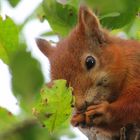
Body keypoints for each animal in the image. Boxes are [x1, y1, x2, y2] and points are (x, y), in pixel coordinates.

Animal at [35, 5, 140, 139]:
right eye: (64, 86)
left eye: (90, 62)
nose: (80, 105)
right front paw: (78, 118)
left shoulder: (136, 69)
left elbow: (134, 103)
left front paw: (106, 111)